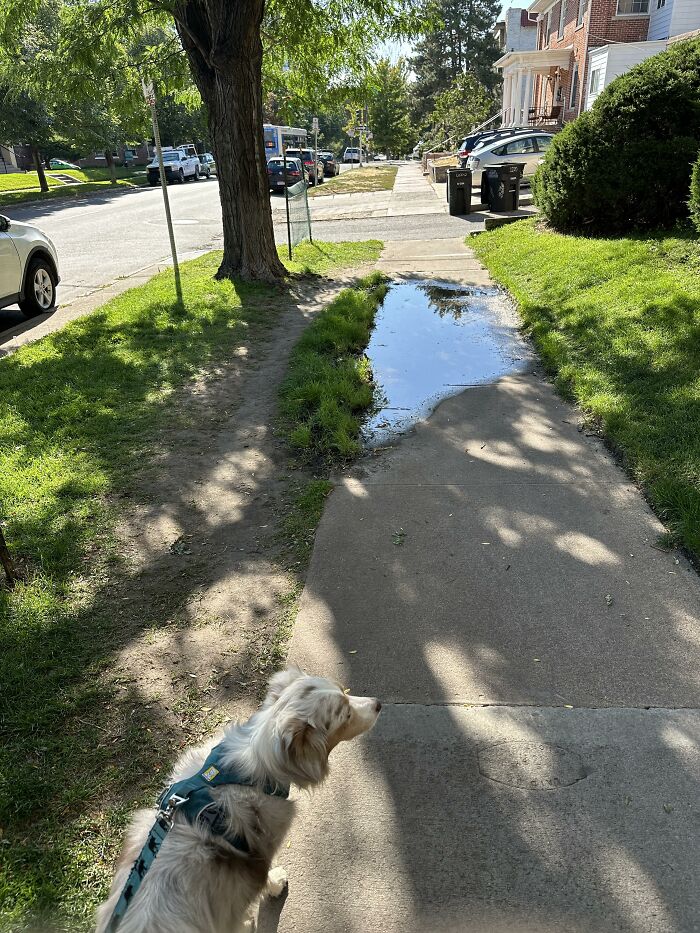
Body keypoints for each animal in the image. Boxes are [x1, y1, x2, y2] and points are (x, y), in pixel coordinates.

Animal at [95, 668, 380, 932]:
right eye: (345, 715)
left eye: (344, 692)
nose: (378, 703)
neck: (248, 769)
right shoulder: (263, 848)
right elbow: (265, 875)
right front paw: (275, 883)